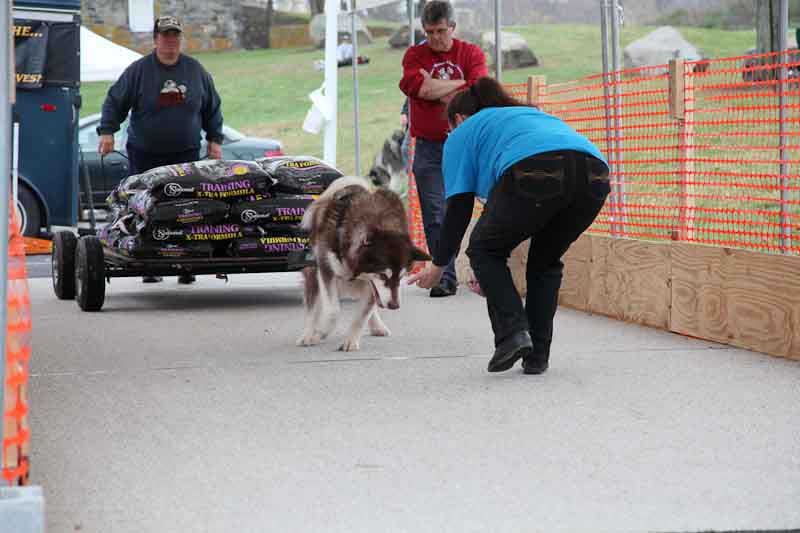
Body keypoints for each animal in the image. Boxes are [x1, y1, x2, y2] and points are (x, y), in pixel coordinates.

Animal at [296, 177, 432, 352]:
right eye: (383, 275)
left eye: (401, 277)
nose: (394, 306)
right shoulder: (326, 270)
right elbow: (333, 311)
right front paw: (321, 331)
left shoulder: (371, 286)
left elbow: (363, 314)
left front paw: (351, 340)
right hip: (314, 271)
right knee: (312, 305)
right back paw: (308, 334)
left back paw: (377, 326)